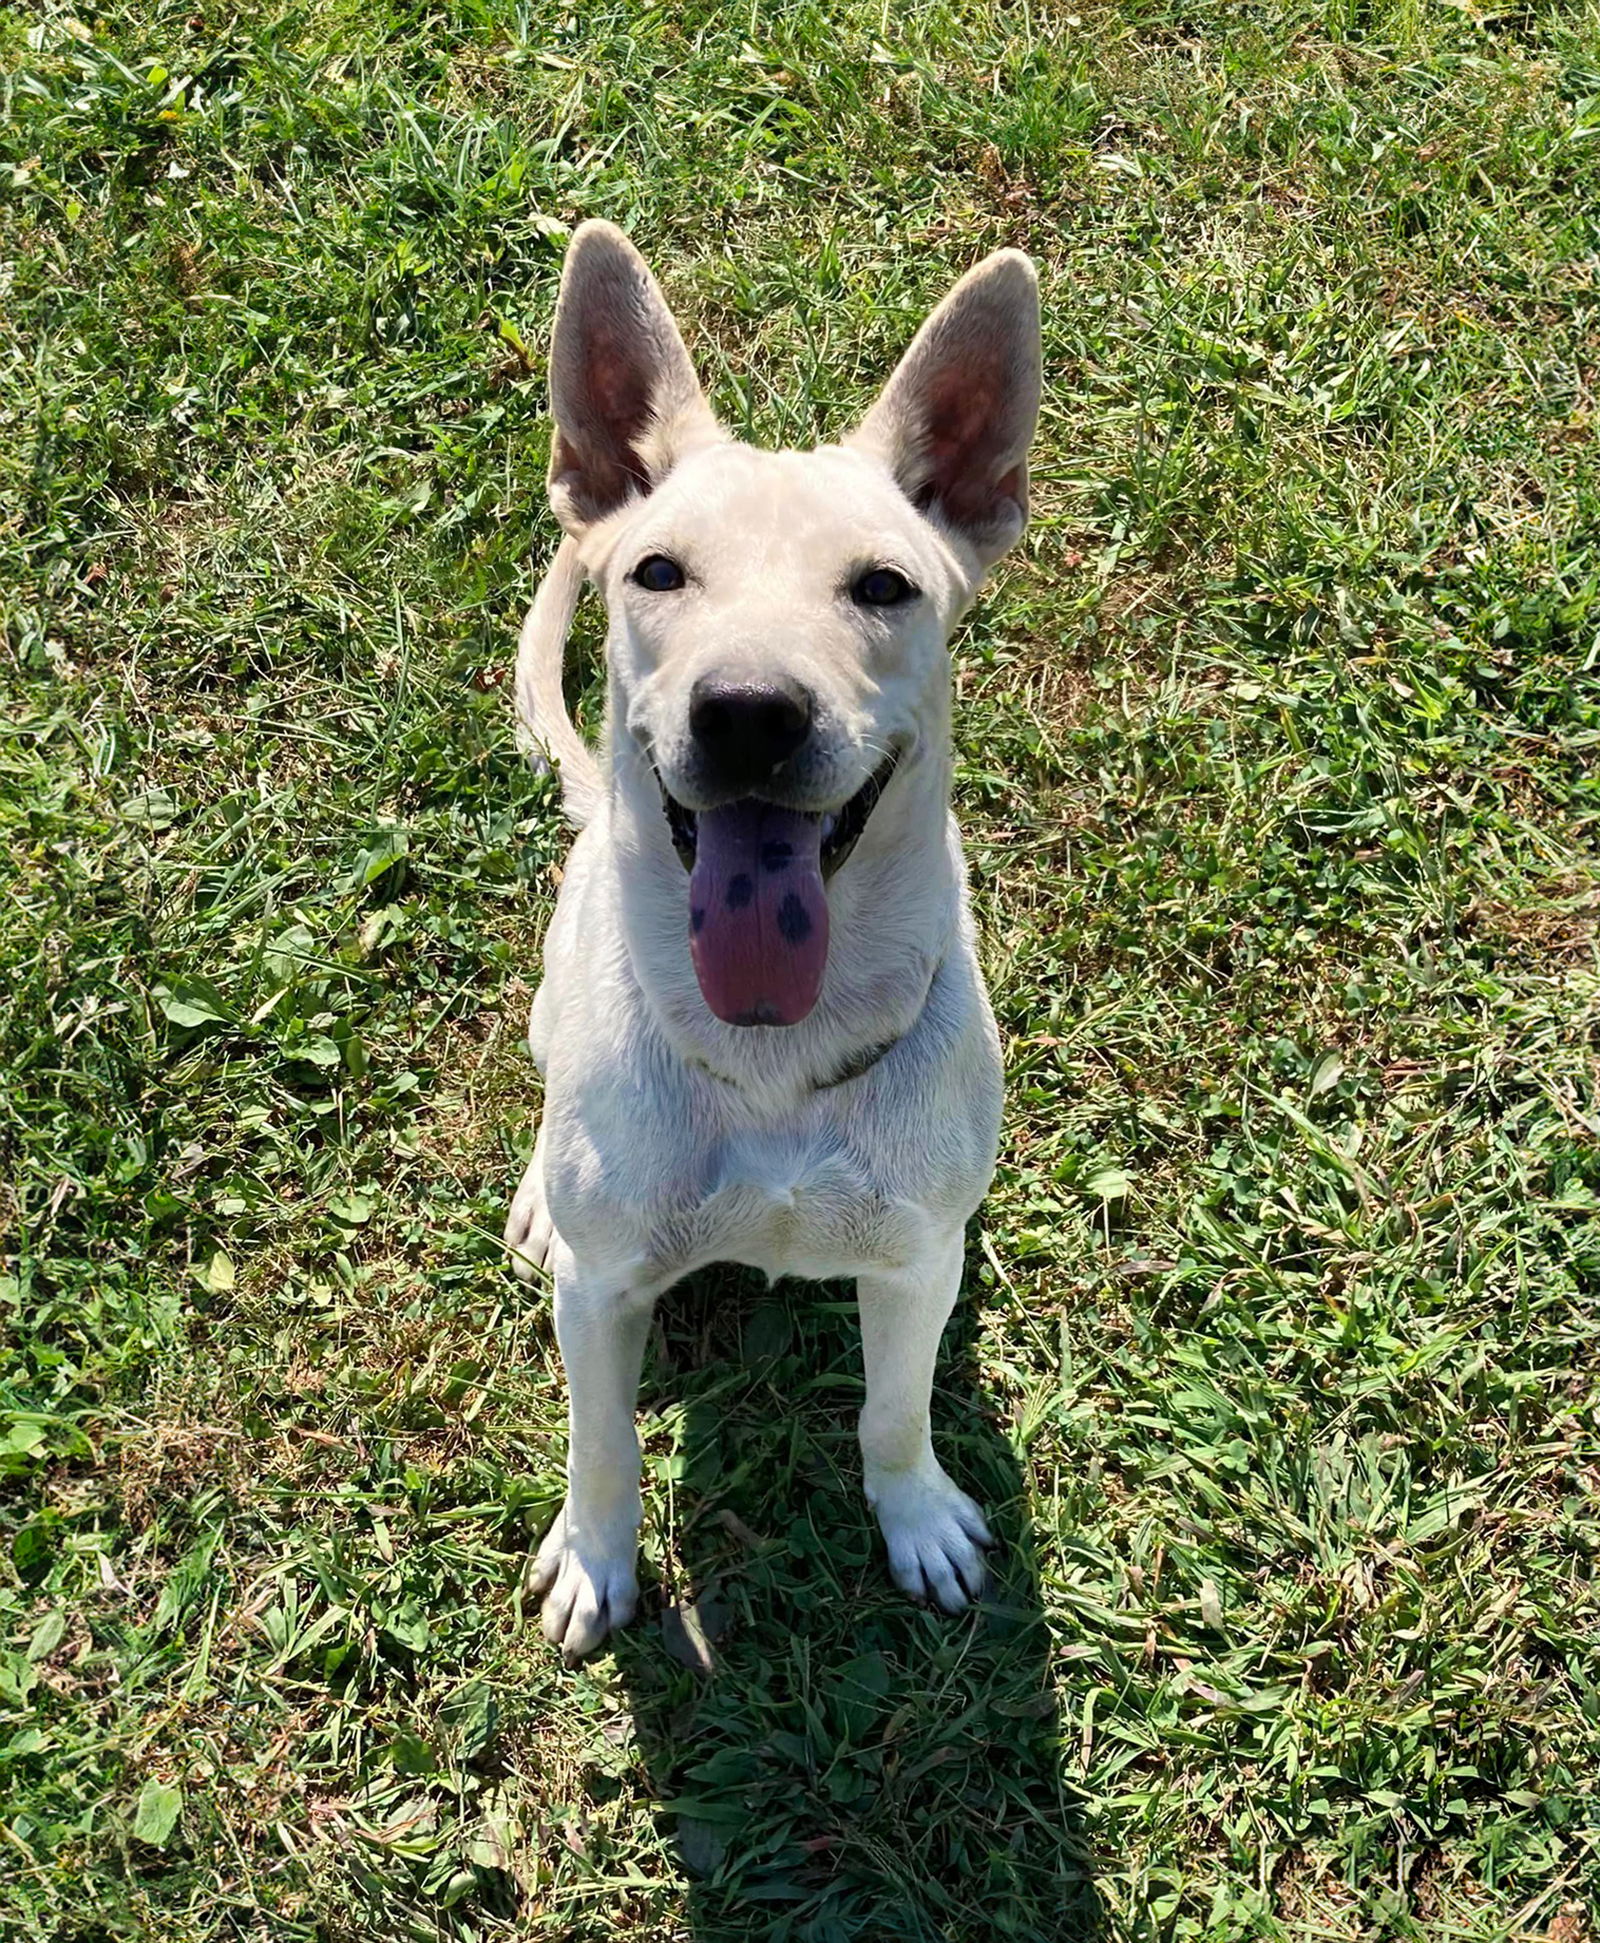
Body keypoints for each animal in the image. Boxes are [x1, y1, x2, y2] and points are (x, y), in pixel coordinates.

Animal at [505, 223, 1042, 1655]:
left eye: (884, 586)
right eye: (657, 571)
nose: (747, 711)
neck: (770, 1058)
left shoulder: (912, 1262)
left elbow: (894, 1410)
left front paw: (916, 1518)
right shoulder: (604, 1292)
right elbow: (600, 1441)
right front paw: (597, 1555)